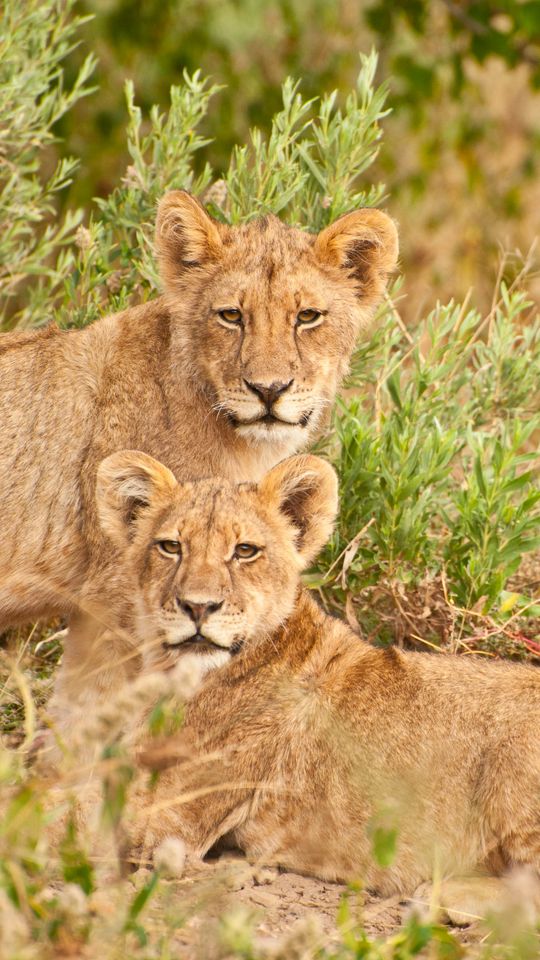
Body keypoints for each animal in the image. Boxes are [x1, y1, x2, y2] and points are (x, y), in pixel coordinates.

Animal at [0, 191, 398, 720]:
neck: (239, 442)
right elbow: (91, 710)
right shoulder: (113, 598)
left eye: (307, 316)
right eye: (231, 315)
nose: (268, 390)